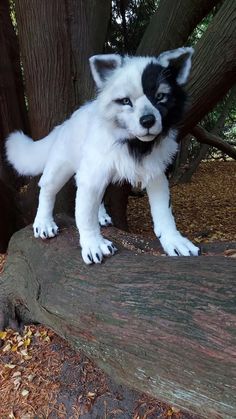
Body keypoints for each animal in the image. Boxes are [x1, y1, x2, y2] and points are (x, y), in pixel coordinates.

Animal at [6, 47, 199, 264]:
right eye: (125, 101)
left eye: (160, 96)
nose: (148, 120)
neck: (134, 144)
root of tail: (67, 122)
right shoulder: (91, 176)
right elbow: (84, 215)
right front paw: (93, 244)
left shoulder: (156, 174)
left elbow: (164, 212)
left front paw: (174, 240)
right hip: (61, 166)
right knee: (47, 189)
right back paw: (43, 222)